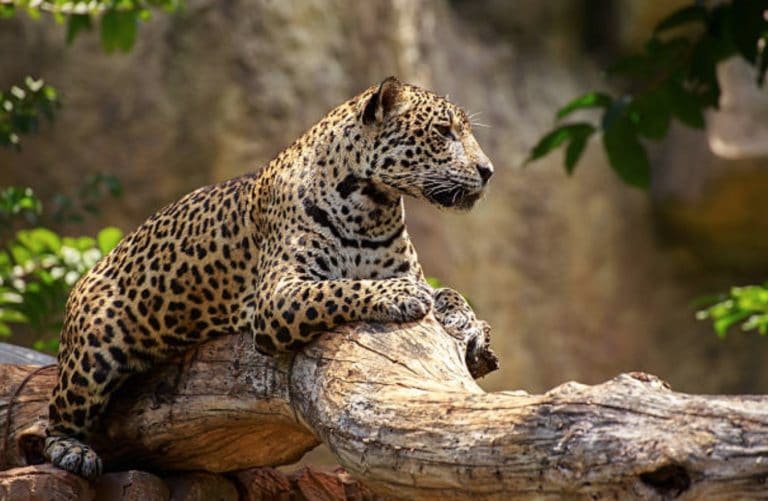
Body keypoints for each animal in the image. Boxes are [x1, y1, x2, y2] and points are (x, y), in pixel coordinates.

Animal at [43, 76, 495, 479]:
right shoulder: (279, 296)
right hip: (94, 351)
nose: (488, 170)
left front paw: (469, 325)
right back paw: (72, 451)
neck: (372, 207)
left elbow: (449, 293)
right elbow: (341, 288)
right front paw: (400, 295)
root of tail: (89, 273)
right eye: (443, 132)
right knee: (55, 417)